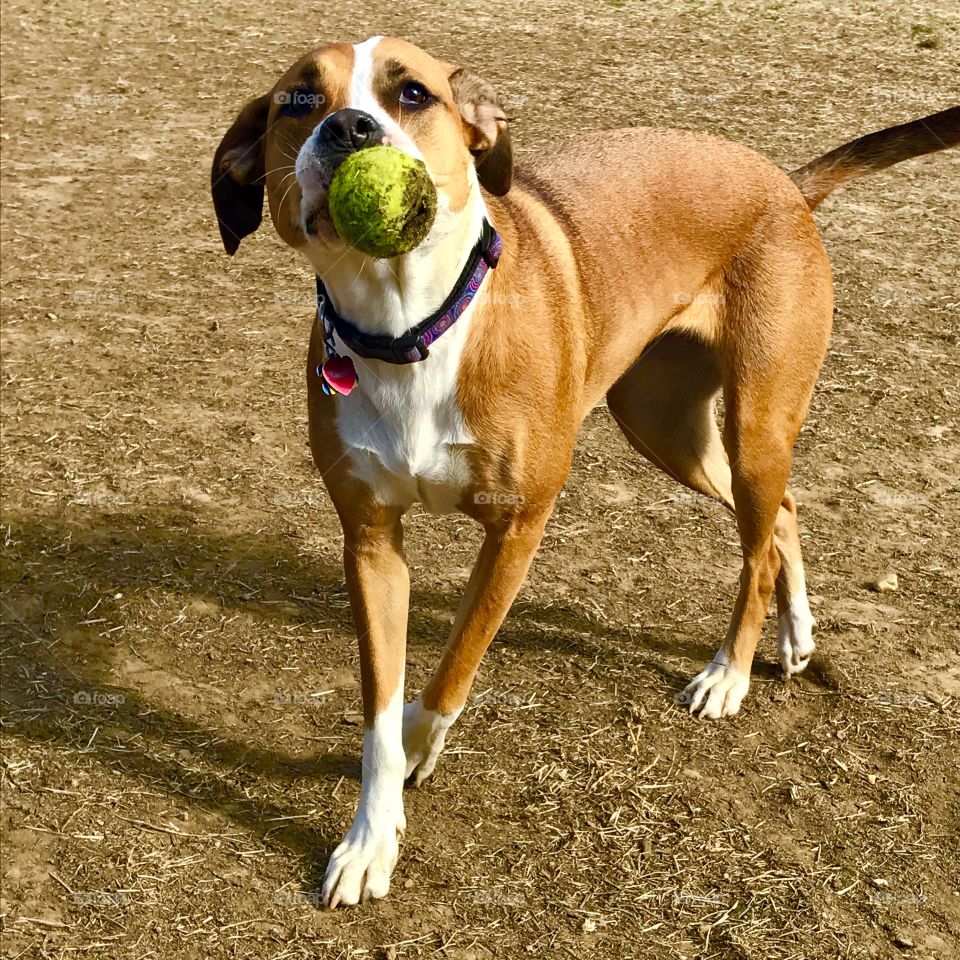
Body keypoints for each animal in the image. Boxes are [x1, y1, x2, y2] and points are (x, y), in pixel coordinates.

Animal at [212, 37, 960, 908]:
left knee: (755, 554)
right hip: (669, 429)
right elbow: (380, 711)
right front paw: (371, 836)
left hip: (754, 426)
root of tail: (784, 180)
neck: (412, 331)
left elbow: (449, 673)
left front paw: (418, 750)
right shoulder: (370, 541)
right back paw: (797, 634)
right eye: (299, 100)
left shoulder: (518, 524)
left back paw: (728, 675)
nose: (349, 128)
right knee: (784, 514)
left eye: (413, 93)